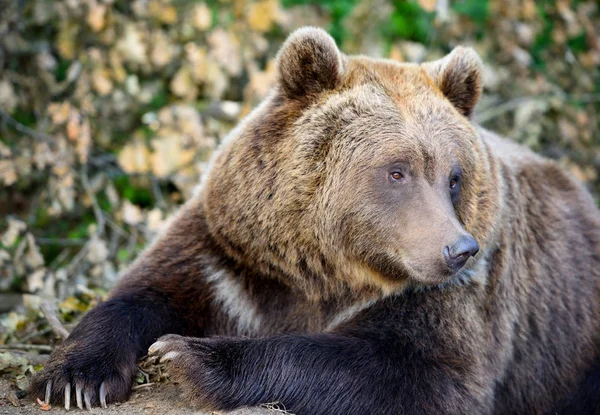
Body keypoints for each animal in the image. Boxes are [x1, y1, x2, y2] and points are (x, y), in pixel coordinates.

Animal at [30, 27, 596, 414]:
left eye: (454, 176)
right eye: (397, 171)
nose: (458, 249)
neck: (323, 270)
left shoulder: (452, 301)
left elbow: (418, 374)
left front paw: (190, 356)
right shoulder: (229, 251)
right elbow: (143, 293)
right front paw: (75, 378)